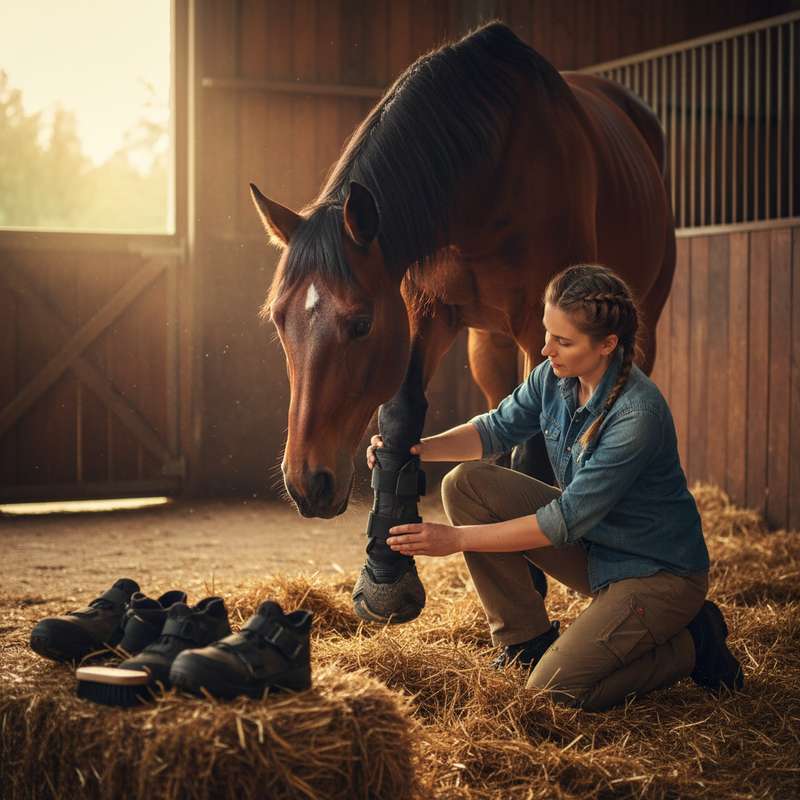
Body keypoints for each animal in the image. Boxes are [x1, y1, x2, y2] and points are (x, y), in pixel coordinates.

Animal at [250, 21, 675, 621]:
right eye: (279, 321)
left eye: (360, 324)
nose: (308, 483)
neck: (492, 166)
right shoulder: (424, 313)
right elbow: (404, 418)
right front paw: (386, 574)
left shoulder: (541, 331)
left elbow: (535, 442)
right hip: (486, 345)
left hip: (639, 324)